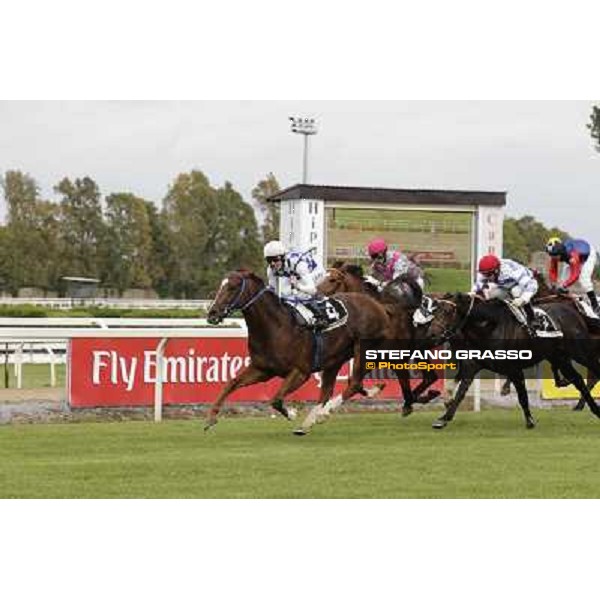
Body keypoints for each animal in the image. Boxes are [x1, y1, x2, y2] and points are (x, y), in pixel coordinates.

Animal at [204, 270, 396, 428]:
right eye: (221, 285)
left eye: (232, 287)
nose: (212, 313)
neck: (275, 327)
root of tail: (377, 305)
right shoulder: (262, 369)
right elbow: (231, 383)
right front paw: (211, 417)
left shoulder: (301, 372)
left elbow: (276, 399)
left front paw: (292, 413)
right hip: (335, 359)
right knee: (337, 388)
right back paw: (311, 420)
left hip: (364, 349)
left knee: (354, 382)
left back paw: (324, 413)